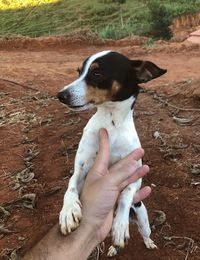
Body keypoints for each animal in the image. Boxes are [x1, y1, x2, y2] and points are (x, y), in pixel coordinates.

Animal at [57, 50, 166, 256]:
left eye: (97, 73)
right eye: (79, 72)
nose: (60, 95)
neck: (111, 124)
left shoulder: (135, 176)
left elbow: (125, 195)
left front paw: (120, 225)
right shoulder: (81, 170)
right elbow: (70, 186)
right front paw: (68, 212)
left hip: (143, 220)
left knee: (145, 233)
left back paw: (147, 242)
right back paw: (114, 248)